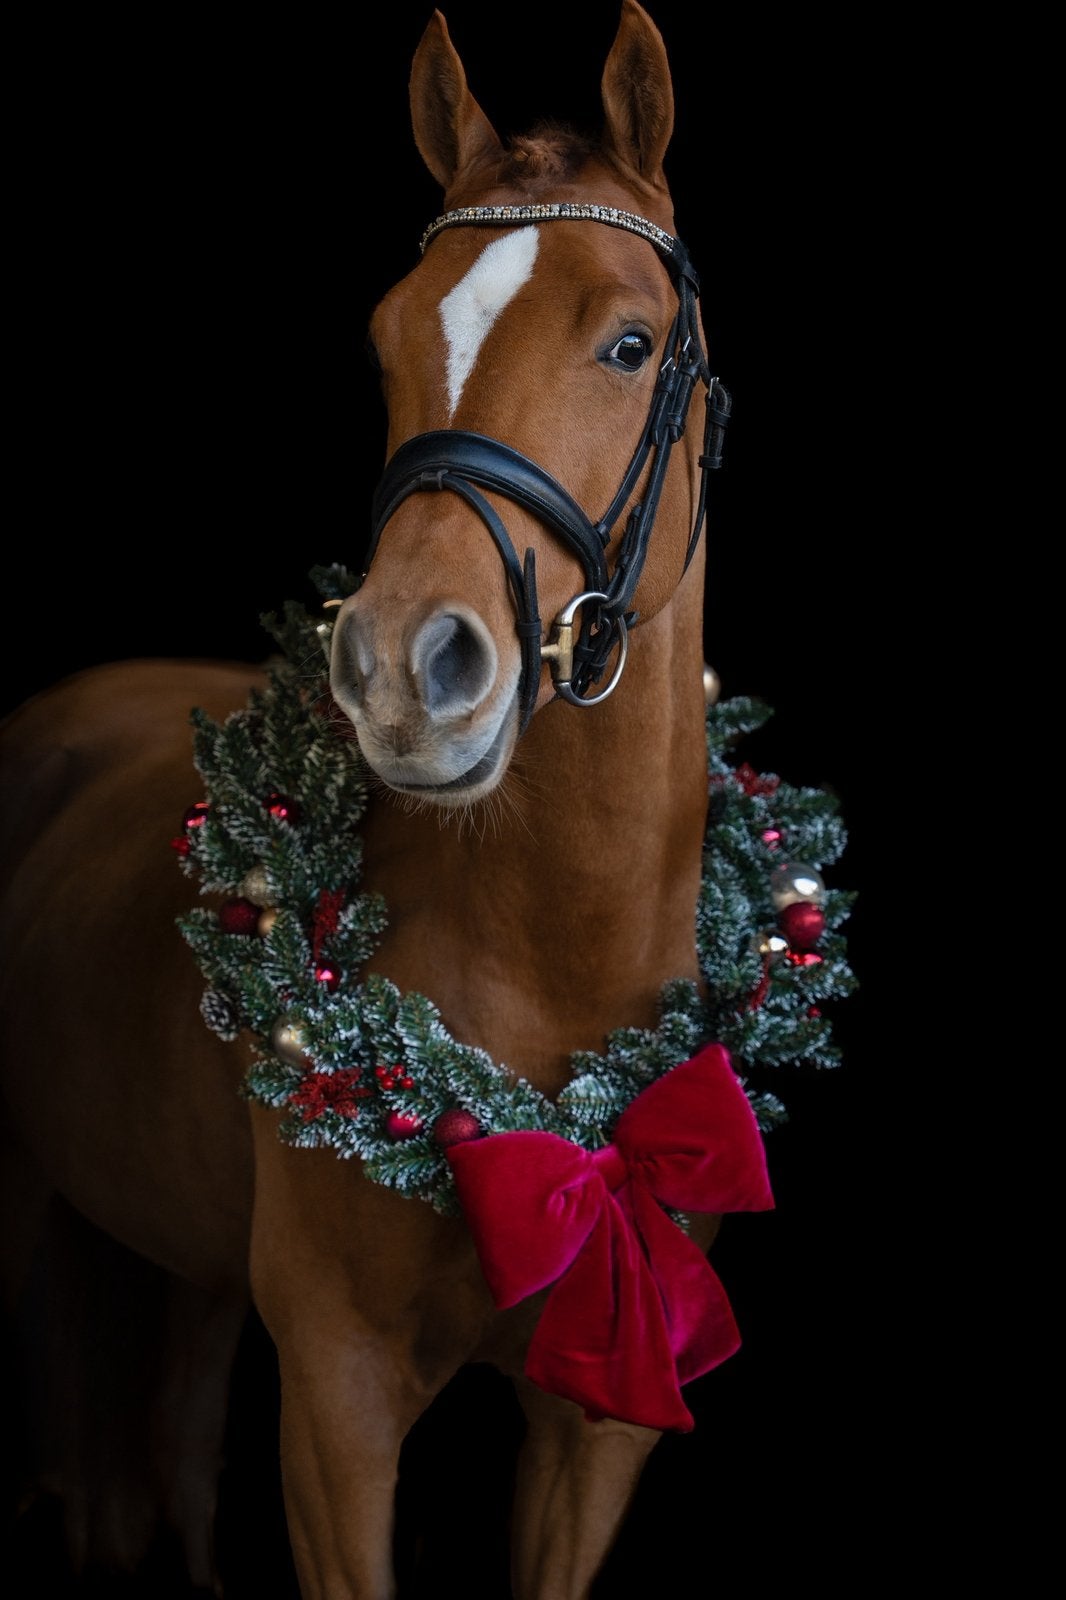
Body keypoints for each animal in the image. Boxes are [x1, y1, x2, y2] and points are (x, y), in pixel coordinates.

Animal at [0, 4, 776, 1594]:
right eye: (383, 344)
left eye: (630, 343)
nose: (406, 668)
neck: (549, 994)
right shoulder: (339, 1402)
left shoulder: (594, 1433)